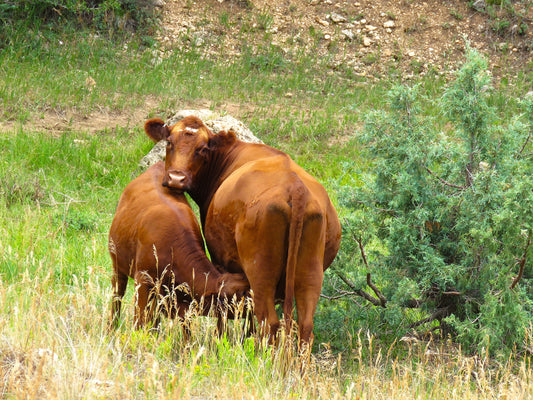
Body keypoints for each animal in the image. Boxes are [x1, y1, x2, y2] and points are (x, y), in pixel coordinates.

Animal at [109, 161, 249, 330]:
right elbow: (140, 321)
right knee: (117, 297)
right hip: (118, 266)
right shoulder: (142, 279)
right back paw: (111, 328)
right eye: (245, 295)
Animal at [143, 115, 338, 346]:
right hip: (310, 274)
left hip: (260, 272)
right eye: (169, 142)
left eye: (202, 149)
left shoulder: (220, 261)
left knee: (269, 322)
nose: (176, 178)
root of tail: (295, 187)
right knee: (305, 328)